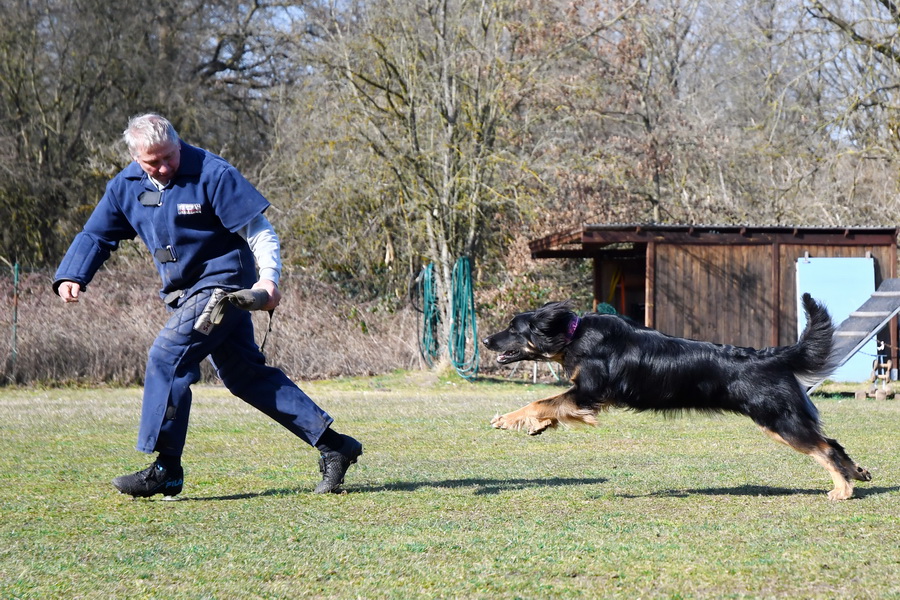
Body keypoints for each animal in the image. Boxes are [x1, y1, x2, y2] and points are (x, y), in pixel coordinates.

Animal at [486, 292, 872, 500]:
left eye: (513, 329)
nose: (488, 341)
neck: (574, 333)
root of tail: (772, 356)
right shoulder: (585, 396)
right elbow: (550, 408)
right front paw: (536, 426)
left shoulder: (589, 391)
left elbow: (542, 402)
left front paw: (507, 419)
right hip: (784, 419)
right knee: (832, 442)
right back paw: (857, 474)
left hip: (778, 419)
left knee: (823, 448)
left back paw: (843, 489)